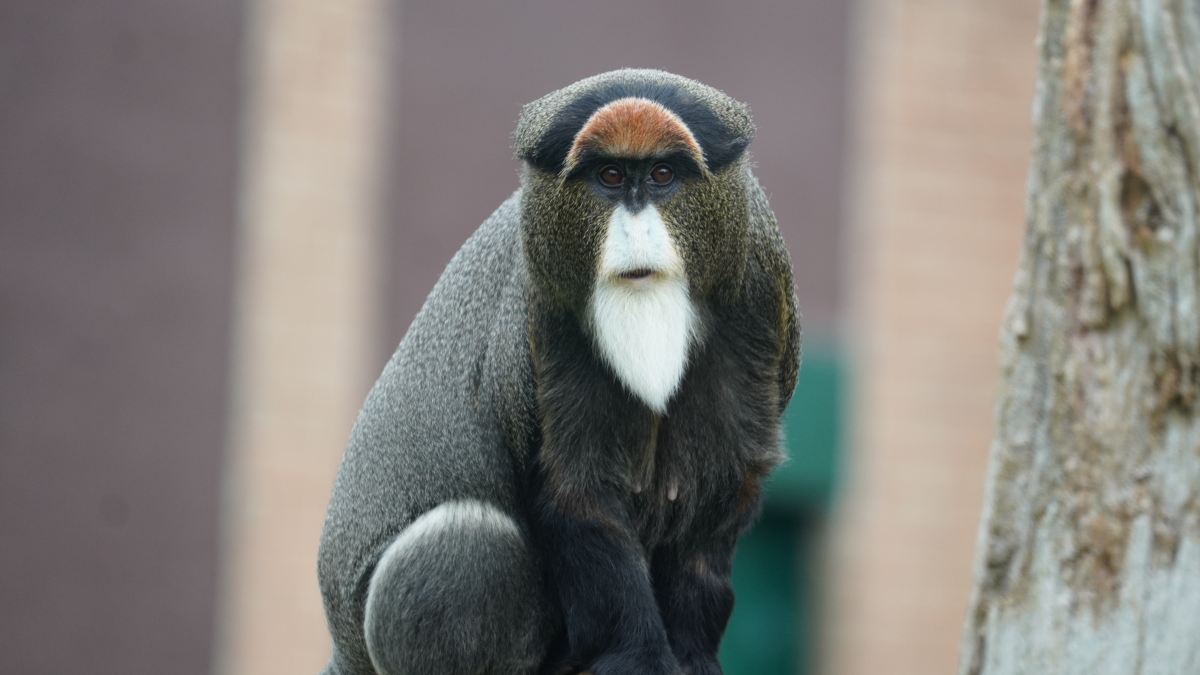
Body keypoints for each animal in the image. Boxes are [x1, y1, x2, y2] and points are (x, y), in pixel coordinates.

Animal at [317, 69, 800, 675]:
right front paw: (638, 659)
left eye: (662, 175)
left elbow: (717, 489)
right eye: (609, 176)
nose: (635, 230)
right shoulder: (541, 319)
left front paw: (691, 658)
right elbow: (577, 492)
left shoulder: (760, 288)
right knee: (472, 538)